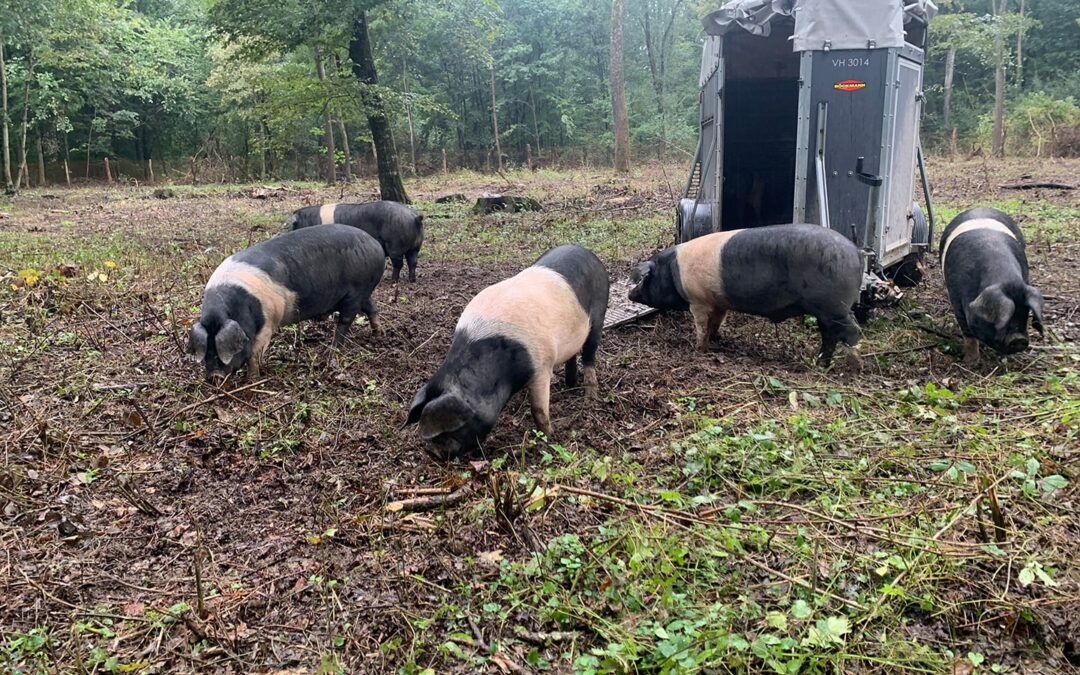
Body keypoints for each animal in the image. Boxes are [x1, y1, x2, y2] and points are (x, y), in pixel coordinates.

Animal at [189, 221, 384, 380]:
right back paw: (378, 333)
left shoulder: (268, 323)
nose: (215, 376)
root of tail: (376, 244)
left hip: (357, 291)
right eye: (206, 351)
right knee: (370, 307)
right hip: (362, 292)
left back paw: (332, 351)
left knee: (345, 321)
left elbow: (254, 356)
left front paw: (251, 380)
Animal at [285, 200, 423, 282]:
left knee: (399, 264)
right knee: (413, 262)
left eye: (295, 225)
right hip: (416, 247)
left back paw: (392, 280)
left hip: (395, 245)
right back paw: (412, 280)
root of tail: (415, 218)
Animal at [403, 241, 609, 457]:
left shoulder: (542, 365)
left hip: (599, 315)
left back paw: (590, 399)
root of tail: (588, 253)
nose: (433, 452)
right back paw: (569, 385)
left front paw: (551, 437)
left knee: (589, 355)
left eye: (453, 430)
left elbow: (539, 409)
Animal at [630, 223, 864, 362]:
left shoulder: (698, 301)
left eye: (646, 279)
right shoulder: (718, 302)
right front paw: (715, 340)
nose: (630, 295)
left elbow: (701, 325)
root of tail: (856, 252)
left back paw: (851, 364)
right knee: (831, 334)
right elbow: (715, 322)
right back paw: (820, 362)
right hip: (828, 309)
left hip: (832, 305)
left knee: (850, 332)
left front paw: (698, 348)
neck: (673, 270)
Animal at [941, 206, 1041, 365]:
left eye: (1026, 313)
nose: (1018, 339)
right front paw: (971, 362)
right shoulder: (956, 299)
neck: (1003, 277)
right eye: (999, 318)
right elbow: (968, 334)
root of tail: (979, 206)